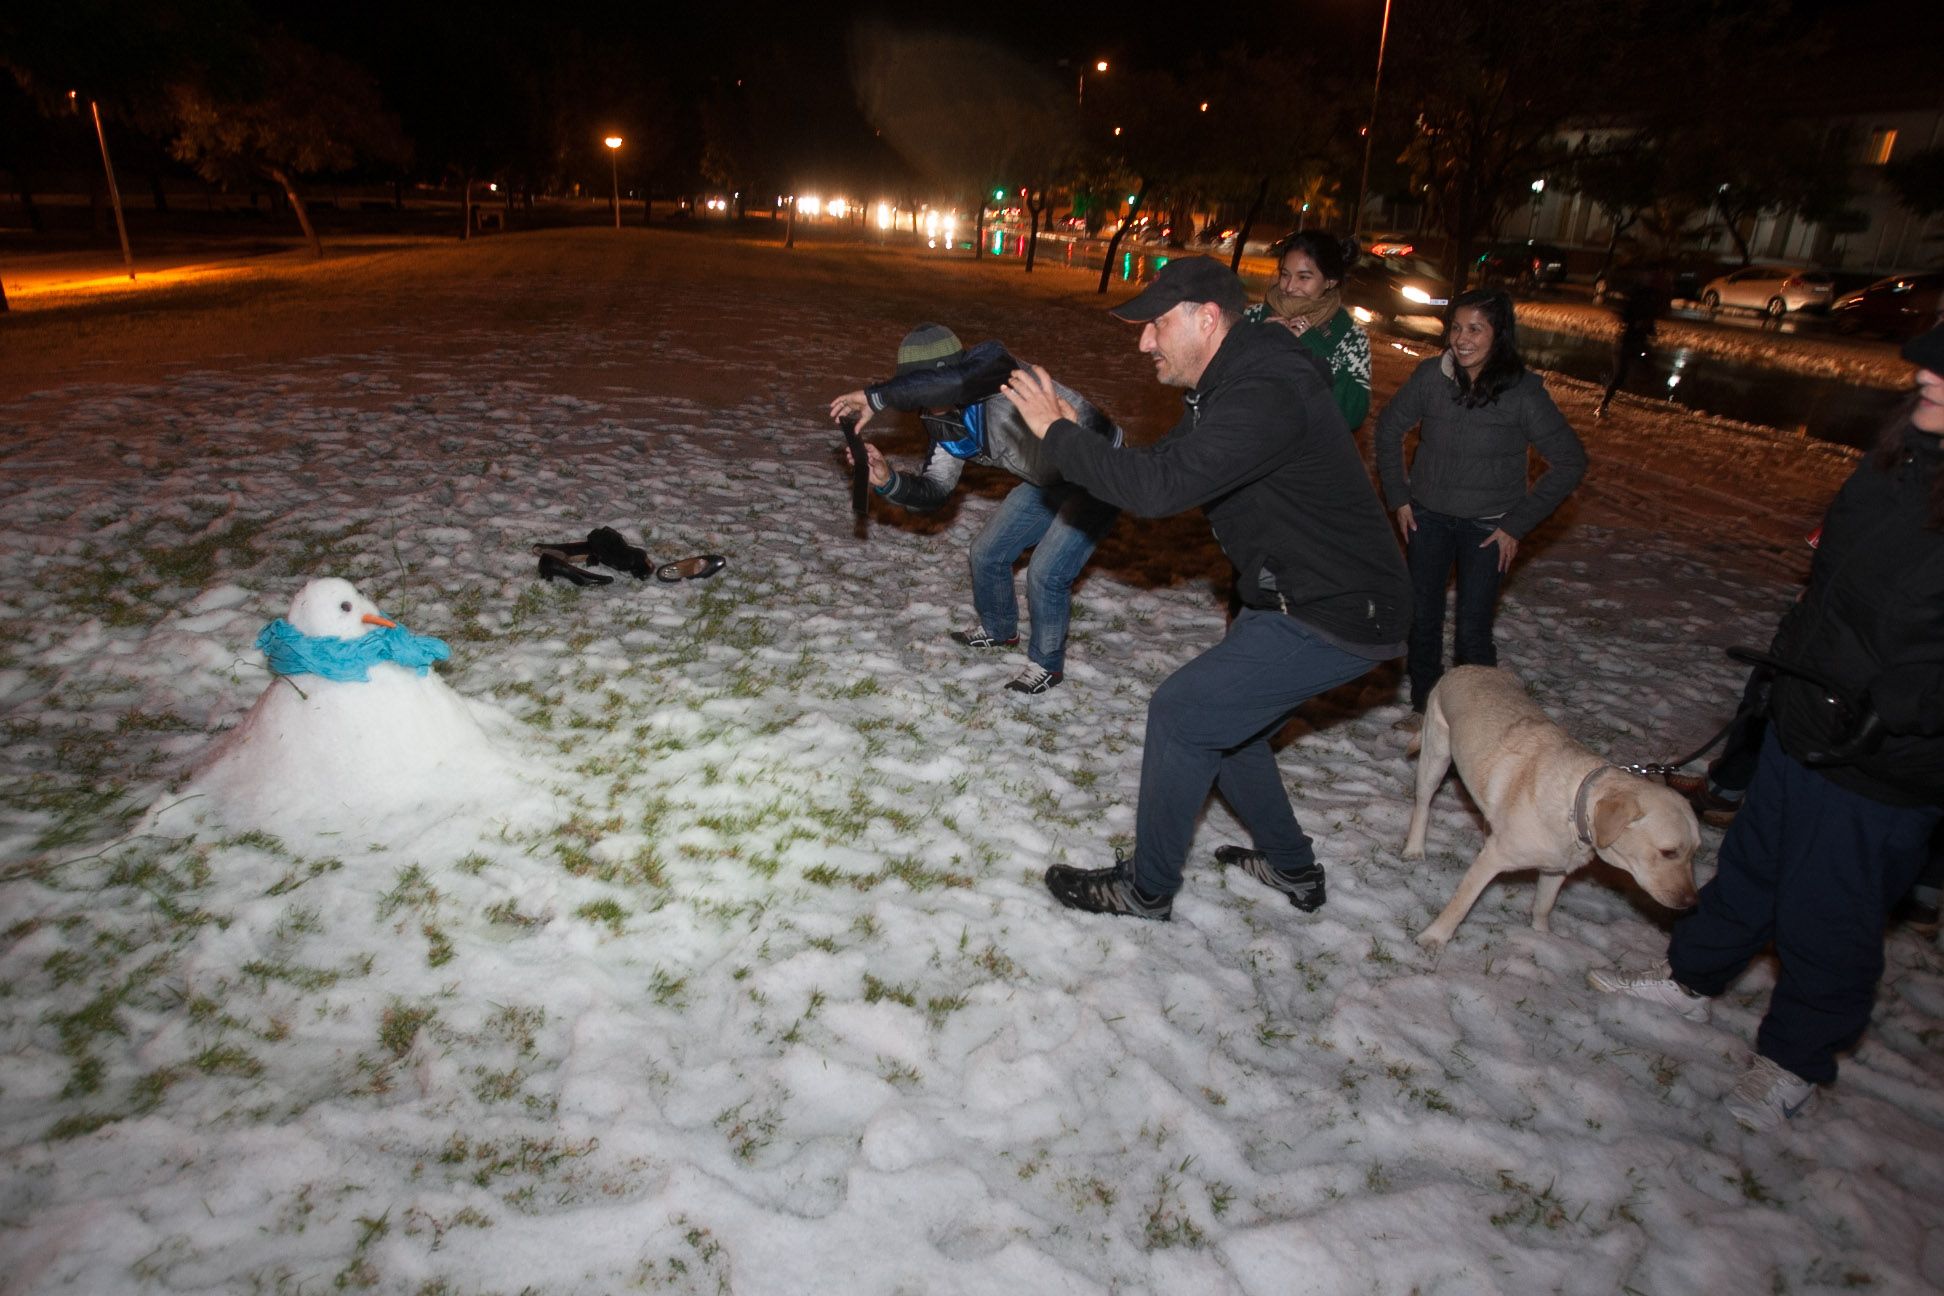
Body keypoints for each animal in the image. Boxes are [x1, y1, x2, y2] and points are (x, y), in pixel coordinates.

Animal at [1407, 668, 1695, 952]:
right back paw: (1413, 850)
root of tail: (1464, 668)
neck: (1574, 808)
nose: (1691, 903)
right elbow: (1461, 904)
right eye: (1668, 852)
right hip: (1435, 757)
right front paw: (1434, 937)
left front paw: (1543, 938)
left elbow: (1543, 907)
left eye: (1695, 852)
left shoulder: (1556, 869)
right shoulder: (1492, 860)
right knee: (1423, 803)